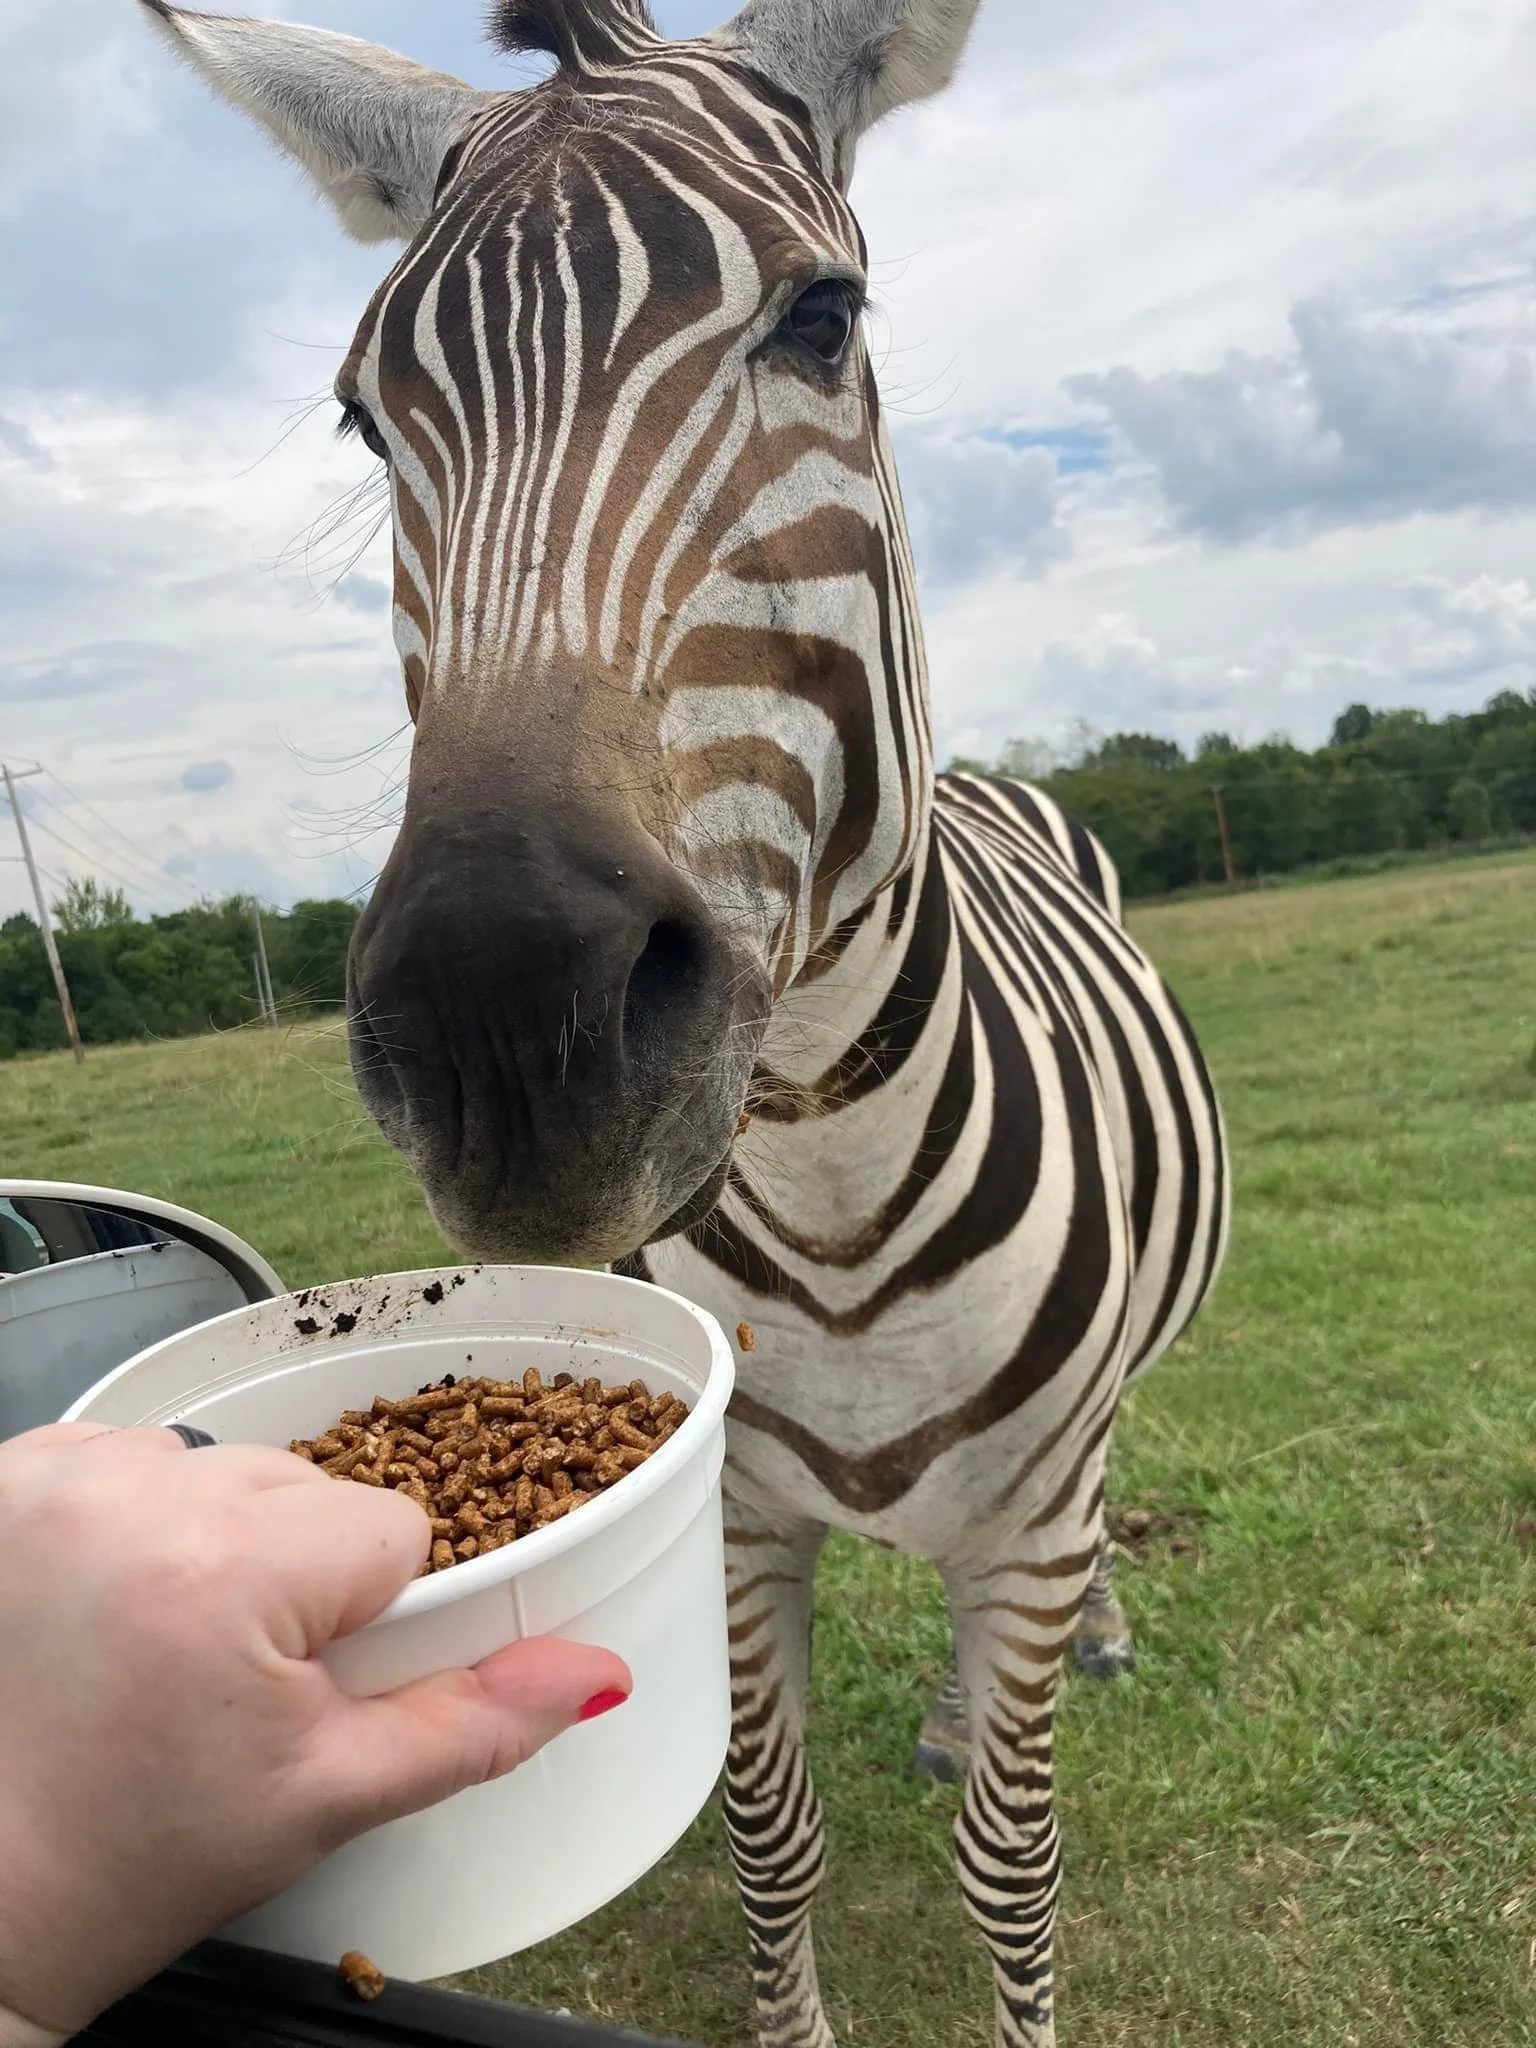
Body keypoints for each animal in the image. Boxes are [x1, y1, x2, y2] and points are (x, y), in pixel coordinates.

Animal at [140, 2, 1231, 2042]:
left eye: (824, 320)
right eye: (365, 416)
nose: (506, 1034)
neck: (835, 1185)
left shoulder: (1028, 1521)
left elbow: (1014, 1874)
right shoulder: (727, 1525)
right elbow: (765, 1840)